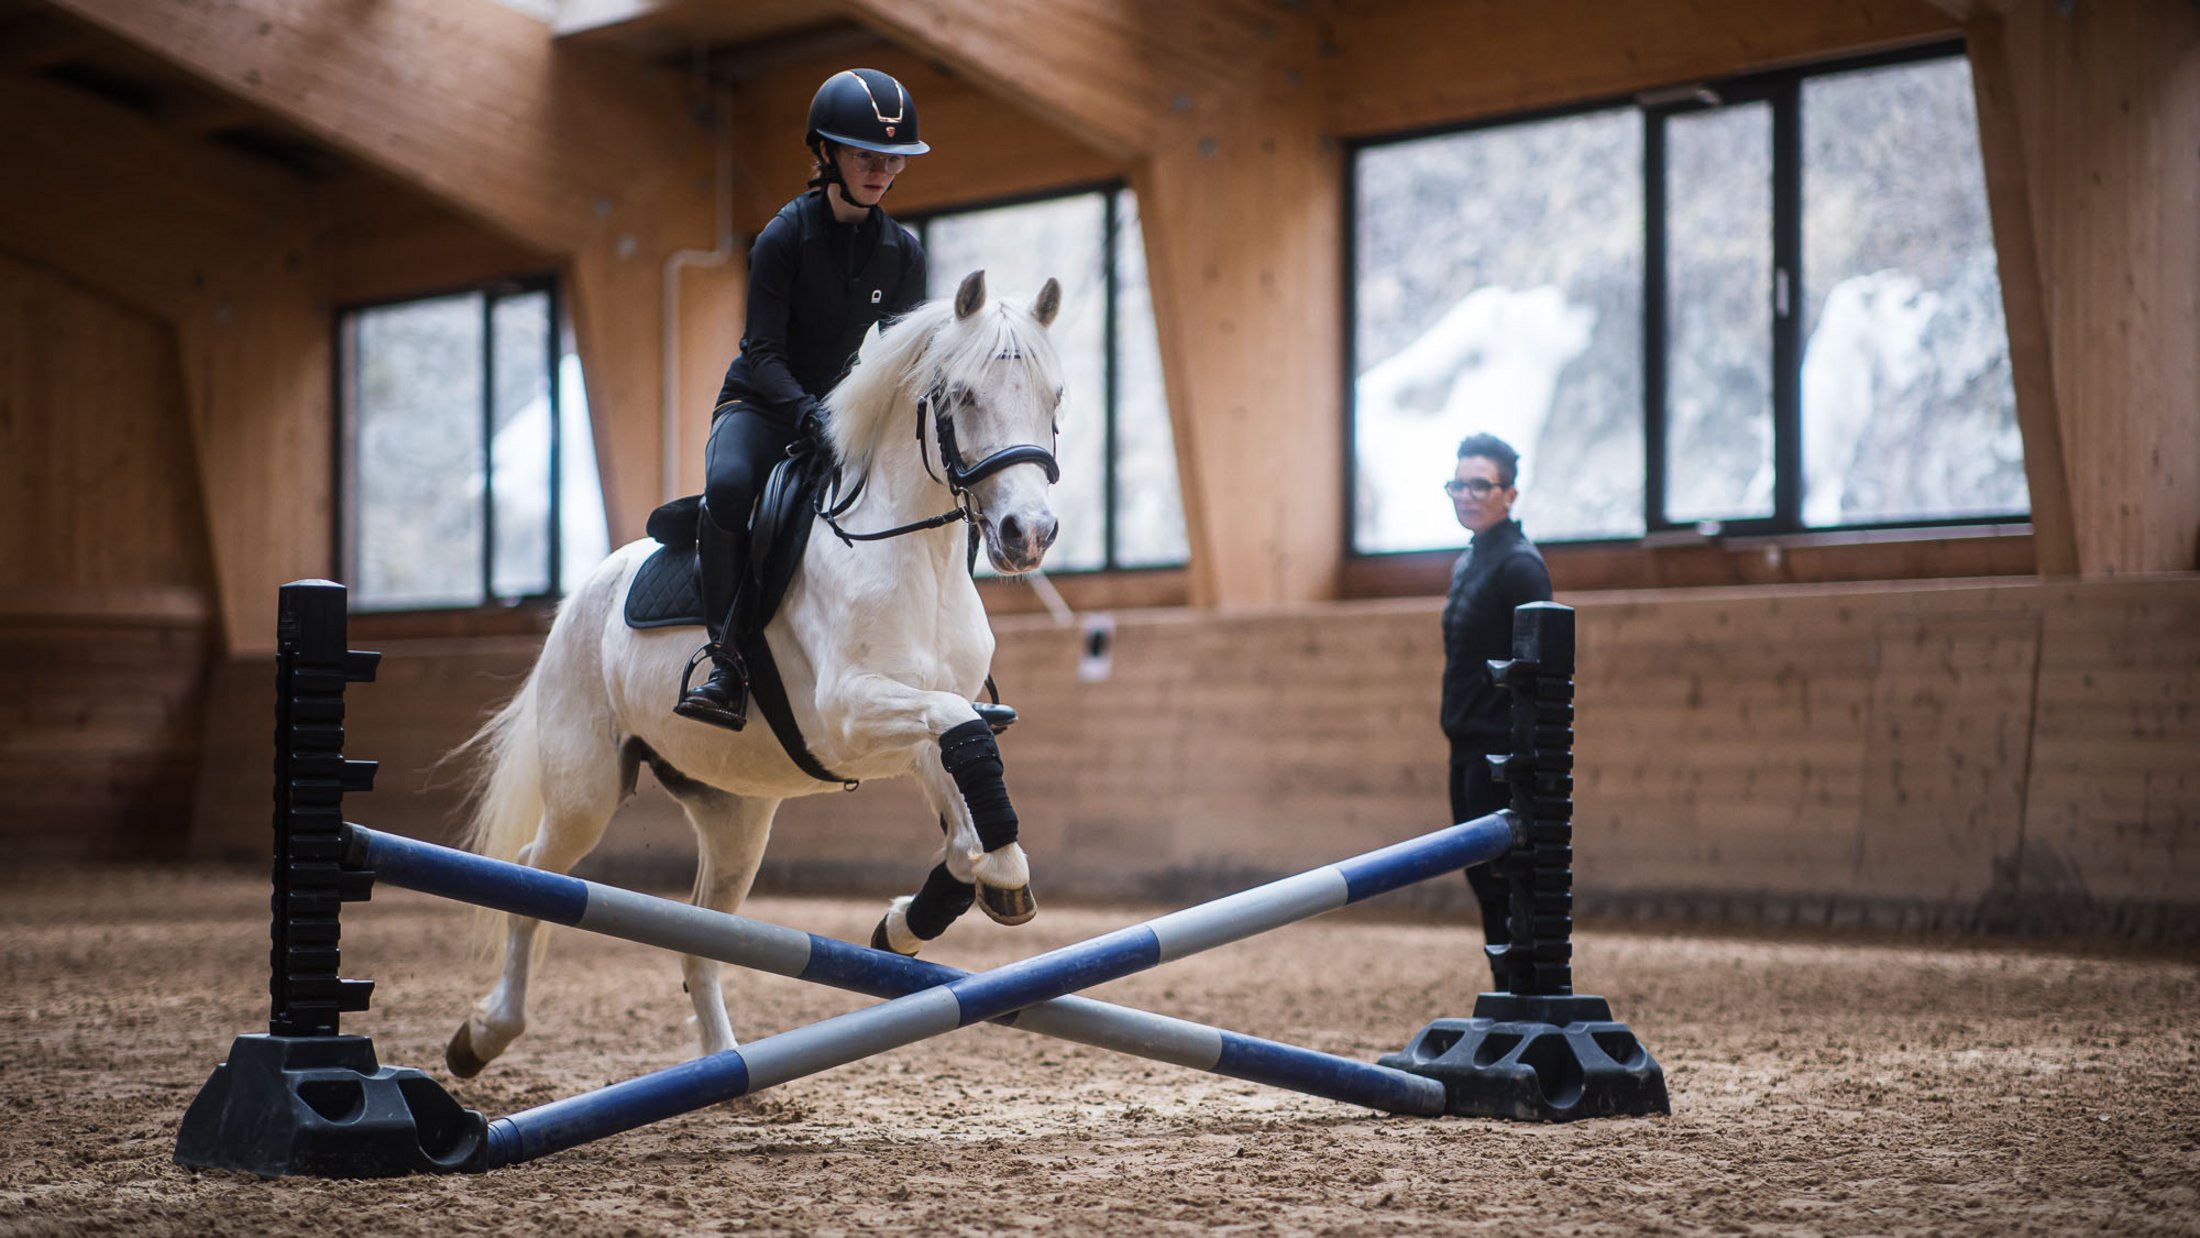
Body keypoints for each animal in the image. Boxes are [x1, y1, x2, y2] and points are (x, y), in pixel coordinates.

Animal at [443, 270, 1067, 1076]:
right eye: (960, 396)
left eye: (1055, 398)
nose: (1029, 534)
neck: (912, 556)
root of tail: (582, 593)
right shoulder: (851, 712)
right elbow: (963, 744)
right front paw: (988, 881)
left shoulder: (921, 724)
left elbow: (966, 813)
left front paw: (917, 917)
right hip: (585, 790)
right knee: (532, 877)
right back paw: (485, 1035)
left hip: (734, 817)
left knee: (702, 941)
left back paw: (727, 1066)